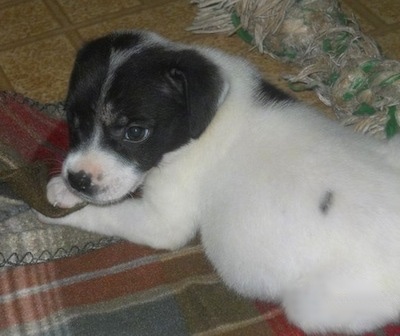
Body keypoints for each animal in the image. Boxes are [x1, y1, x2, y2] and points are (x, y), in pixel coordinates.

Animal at [38, 30, 400, 334]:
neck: (208, 115)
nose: (78, 180)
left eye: (135, 132)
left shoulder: (163, 222)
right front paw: (68, 191)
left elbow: (107, 212)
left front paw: (54, 202)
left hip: (313, 306)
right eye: (72, 119)